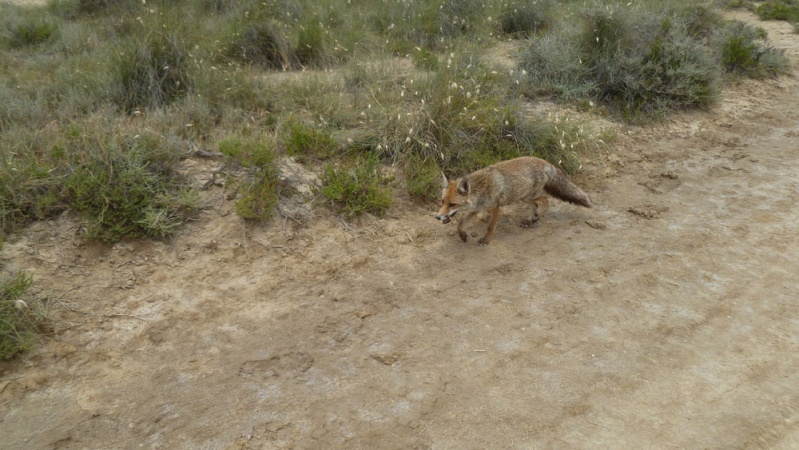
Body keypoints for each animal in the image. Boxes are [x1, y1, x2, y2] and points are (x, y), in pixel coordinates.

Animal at [438, 156, 592, 246]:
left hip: (528, 195)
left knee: (544, 200)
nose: (437, 217)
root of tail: (545, 162)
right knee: (536, 204)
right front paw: (463, 236)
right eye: (442, 201)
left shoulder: (495, 207)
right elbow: (460, 224)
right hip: (523, 196)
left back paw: (536, 217)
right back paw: (530, 220)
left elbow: (490, 227)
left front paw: (486, 240)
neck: (481, 189)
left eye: (452, 204)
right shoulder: (476, 209)